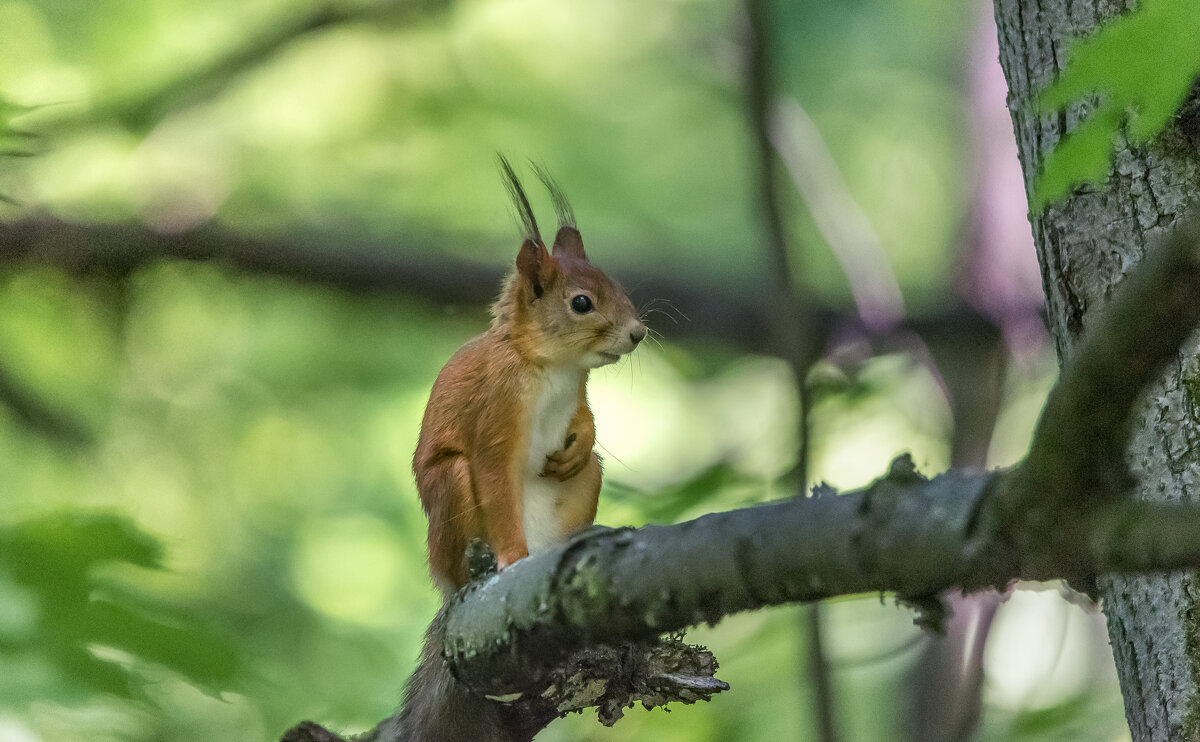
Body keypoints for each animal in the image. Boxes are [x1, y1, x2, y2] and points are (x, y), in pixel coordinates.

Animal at [415, 158, 648, 597]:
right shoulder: (497, 406)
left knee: (588, 469)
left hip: (587, 479)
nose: (638, 333)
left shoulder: (578, 388)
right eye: (581, 302)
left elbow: (584, 416)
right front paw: (512, 556)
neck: (553, 367)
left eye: (617, 285)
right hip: (451, 490)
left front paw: (583, 436)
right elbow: (495, 478)